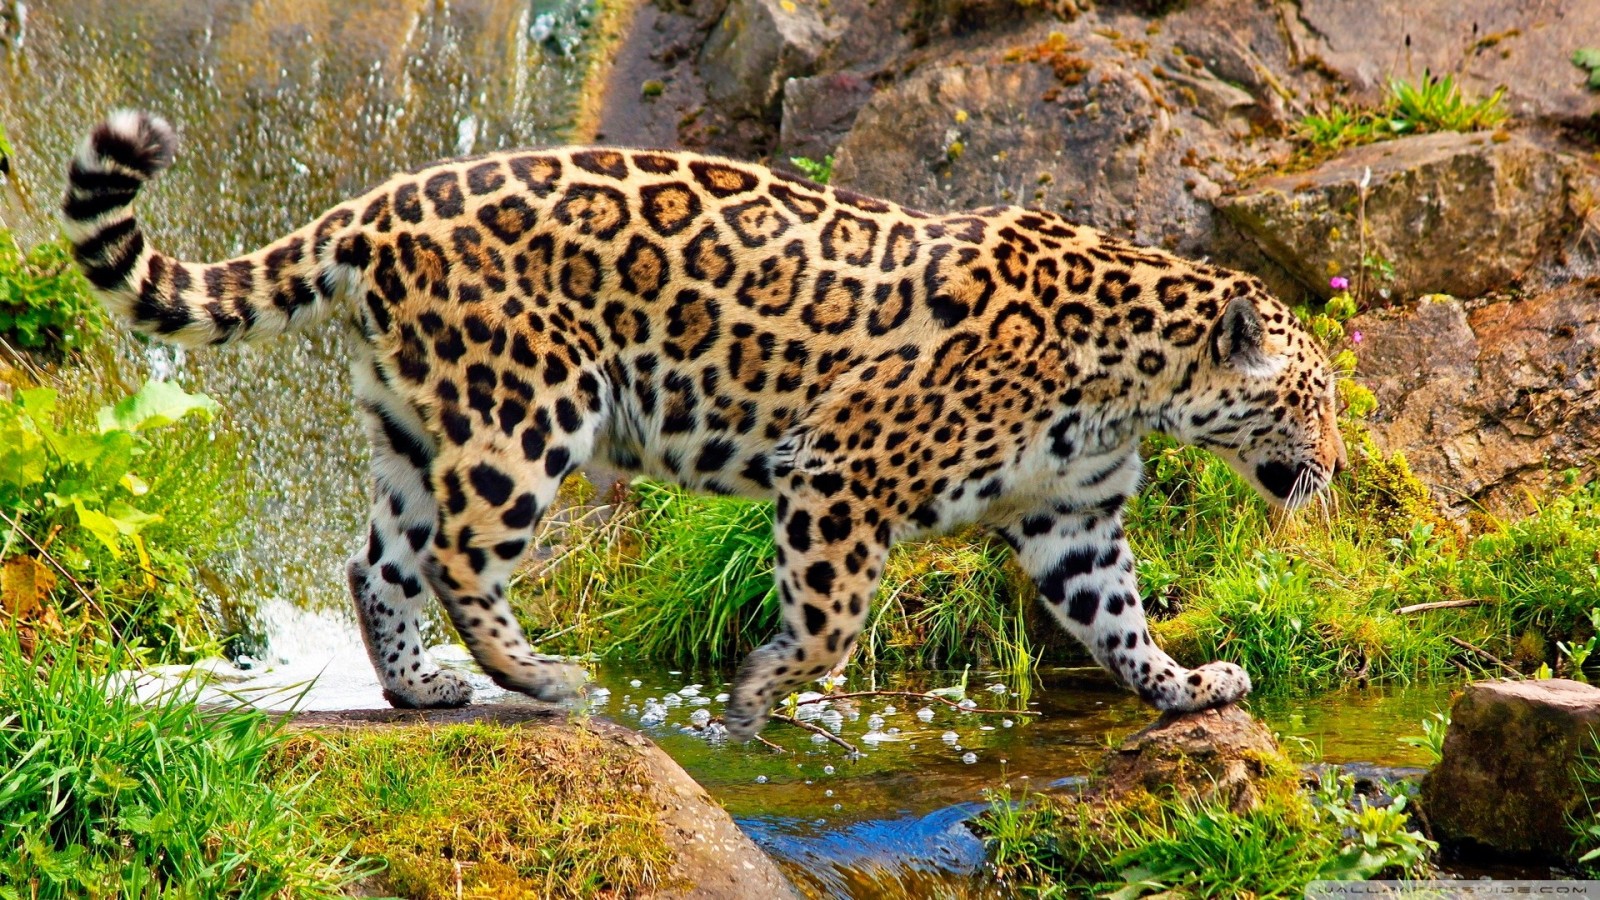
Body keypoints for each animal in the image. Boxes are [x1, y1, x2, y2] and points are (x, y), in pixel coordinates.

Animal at [63, 111, 1345, 739]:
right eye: (1315, 399)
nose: (1333, 469)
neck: (1136, 375)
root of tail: (373, 206)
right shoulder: (840, 472)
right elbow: (832, 623)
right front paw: (759, 693)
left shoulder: (1071, 520)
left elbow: (1117, 621)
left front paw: (1188, 688)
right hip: (529, 405)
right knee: (461, 554)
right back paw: (543, 679)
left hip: (418, 426)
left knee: (377, 559)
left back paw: (424, 690)